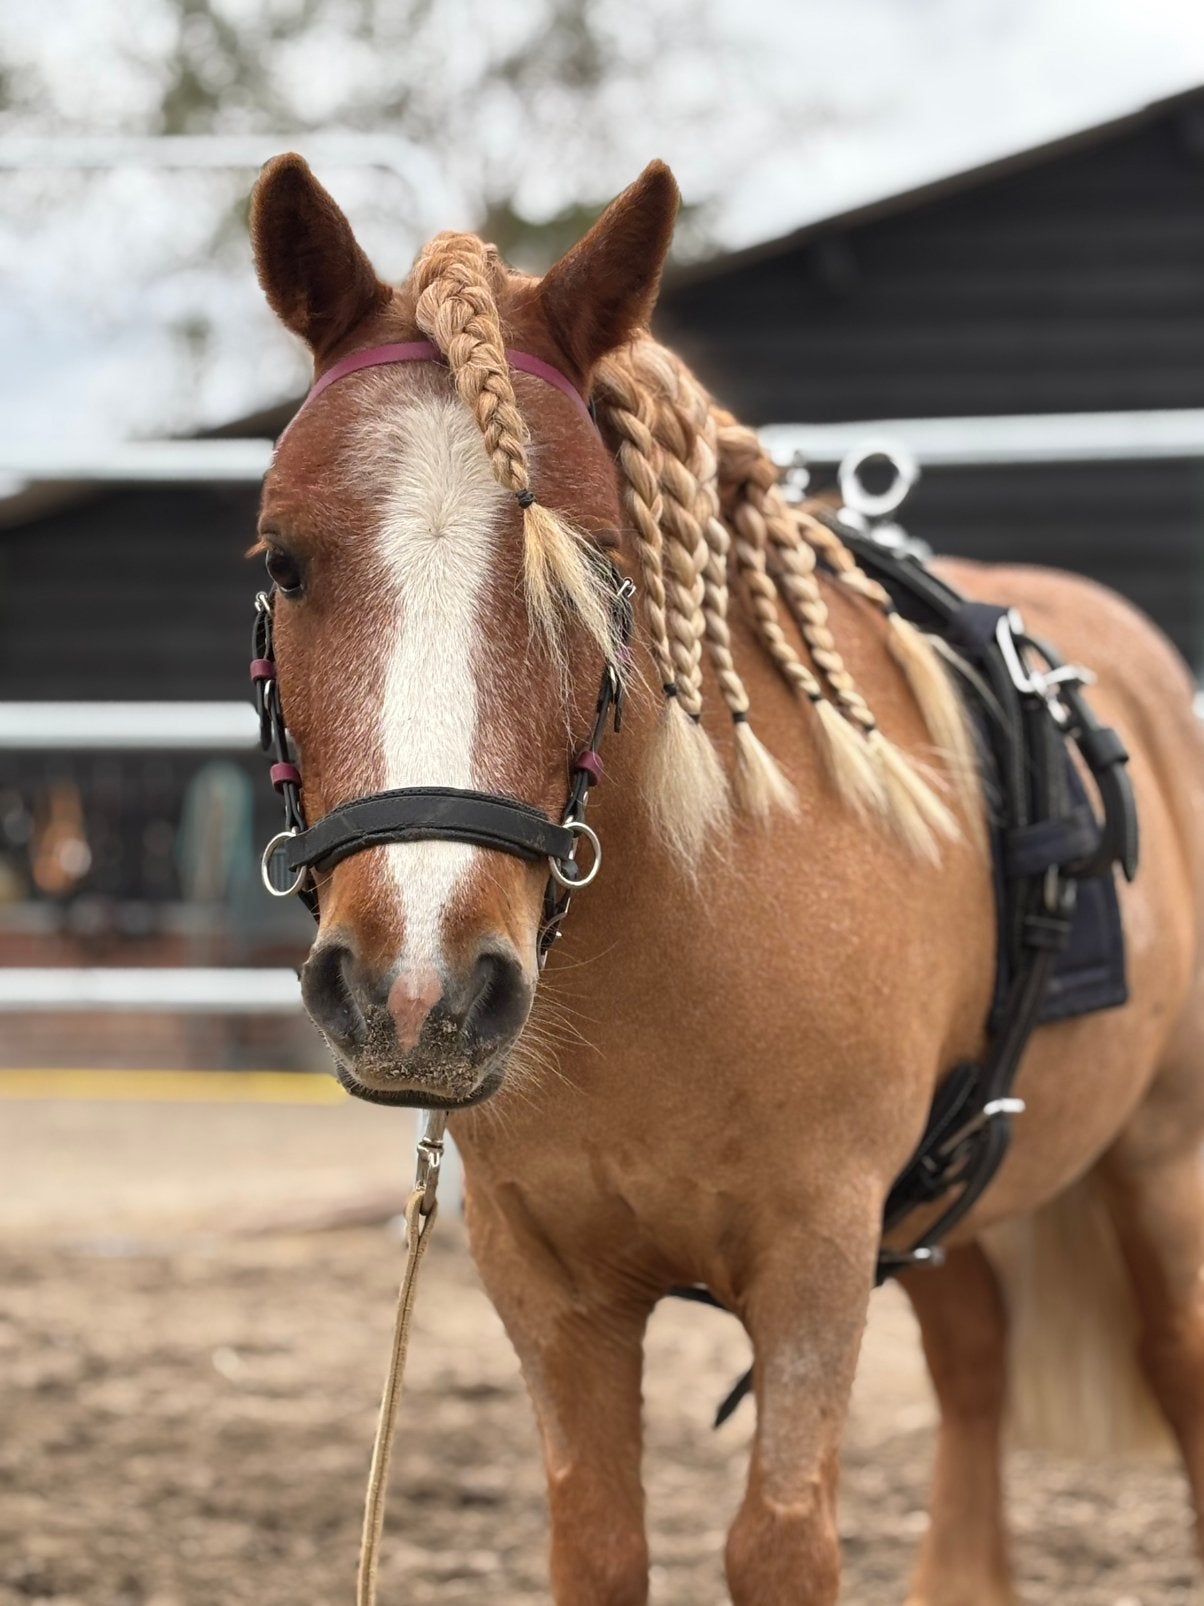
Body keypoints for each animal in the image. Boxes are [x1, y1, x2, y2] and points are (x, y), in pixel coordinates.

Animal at [247, 152, 1204, 1605]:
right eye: (283, 561)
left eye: (600, 560)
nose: (415, 993)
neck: (678, 937)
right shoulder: (547, 1279)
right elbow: (596, 1544)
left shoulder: (815, 1260)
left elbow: (780, 1546)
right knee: (976, 1371)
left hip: (1161, 1165)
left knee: (1176, 1368)